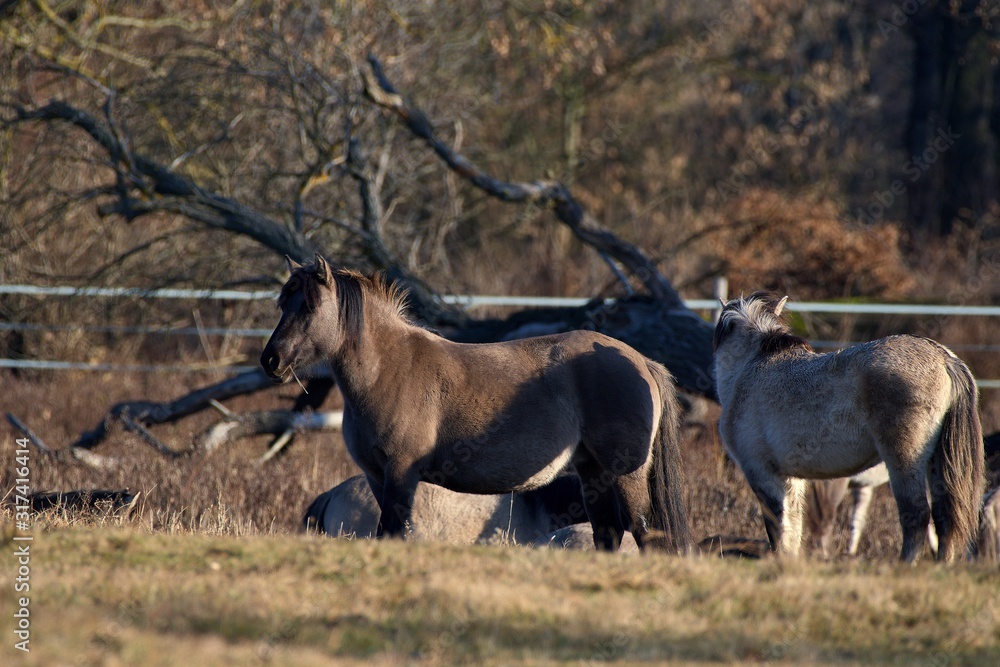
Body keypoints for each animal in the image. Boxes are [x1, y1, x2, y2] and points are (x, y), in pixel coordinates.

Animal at [263, 254, 690, 552]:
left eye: (310, 305)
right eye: (283, 303)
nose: (271, 360)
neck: (390, 368)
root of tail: (643, 362)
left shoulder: (401, 475)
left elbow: (392, 533)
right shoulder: (375, 475)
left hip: (625, 473)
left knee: (643, 531)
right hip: (592, 471)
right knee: (608, 533)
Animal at [713, 291, 984, 562]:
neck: (750, 370)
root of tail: (945, 358)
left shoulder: (761, 472)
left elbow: (776, 525)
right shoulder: (792, 479)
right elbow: (793, 527)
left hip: (904, 460)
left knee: (916, 516)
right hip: (936, 461)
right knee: (944, 517)